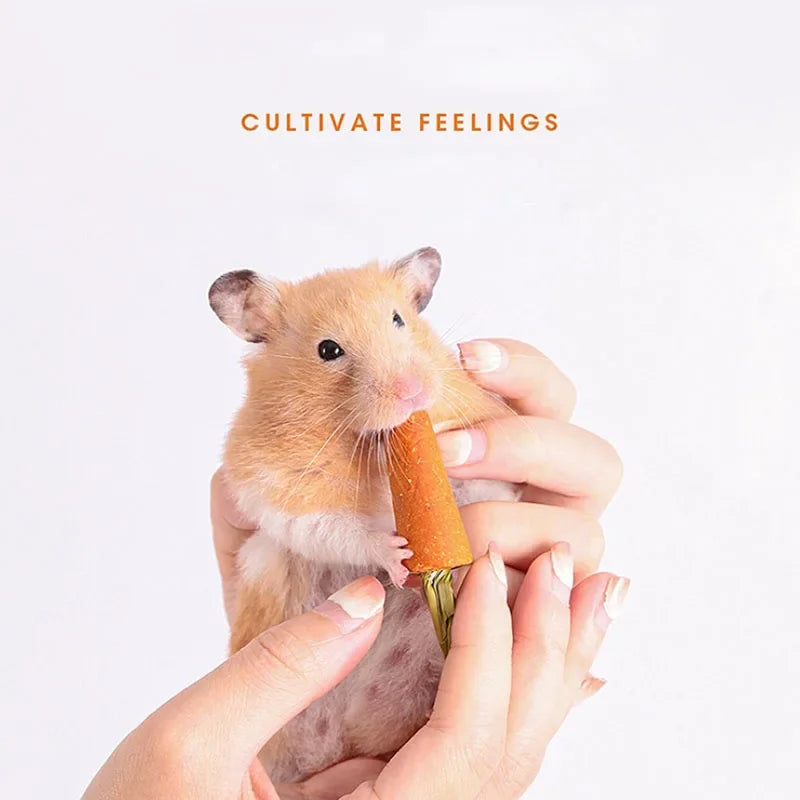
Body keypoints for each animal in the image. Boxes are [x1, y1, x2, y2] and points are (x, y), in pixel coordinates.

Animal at [209, 247, 519, 782]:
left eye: (398, 320)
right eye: (328, 350)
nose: (412, 390)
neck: (373, 445)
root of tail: (333, 744)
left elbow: (485, 483)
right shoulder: (278, 489)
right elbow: (336, 528)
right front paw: (397, 554)